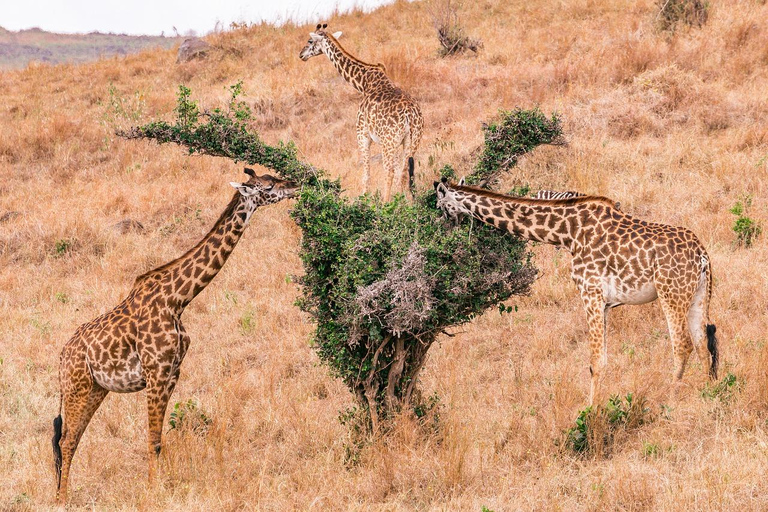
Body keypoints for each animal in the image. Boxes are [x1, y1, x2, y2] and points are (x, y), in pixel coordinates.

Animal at [52, 171, 298, 504]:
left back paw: (60, 493)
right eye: (269, 185)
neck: (178, 299)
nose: (295, 185)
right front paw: (153, 492)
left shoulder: (172, 373)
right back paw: (62, 499)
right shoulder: (155, 373)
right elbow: (153, 439)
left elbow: (160, 438)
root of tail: (62, 358)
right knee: (66, 441)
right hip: (77, 387)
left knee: (72, 438)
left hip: (96, 389)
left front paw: (163, 484)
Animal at [298, 23, 424, 200]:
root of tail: (410, 115)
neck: (364, 83)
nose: (301, 54)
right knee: (404, 173)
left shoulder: (362, 134)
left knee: (390, 172)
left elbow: (366, 174)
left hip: (389, 142)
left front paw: (363, 200)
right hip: (412, 141)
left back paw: (386, 204)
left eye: (310, 41)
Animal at [438, 179, 720, 404]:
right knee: (702, 344)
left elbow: (595, 362)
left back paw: (671, 396)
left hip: (670, 293)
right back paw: (707, 392)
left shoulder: (590, 292)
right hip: (697, 296)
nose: (446, 229)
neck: (567, 232)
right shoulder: (605, 303)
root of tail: (702, 256)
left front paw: (589, 410)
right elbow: (601, 359)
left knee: (682, 344)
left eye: (440, 205)